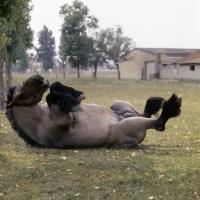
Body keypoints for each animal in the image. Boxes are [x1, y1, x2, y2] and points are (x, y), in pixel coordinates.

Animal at [5, 75, 182, 148]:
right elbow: (50, 96)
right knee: (158, 124)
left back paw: (155, 102)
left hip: (118, 104)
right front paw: (72, 99)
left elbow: (54, 88)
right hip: (129, 125)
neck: (39, 120)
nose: (39, 78)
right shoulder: (65, 120)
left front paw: (75, 95)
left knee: (143, 114)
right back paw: (171, 105)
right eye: (21, 94)